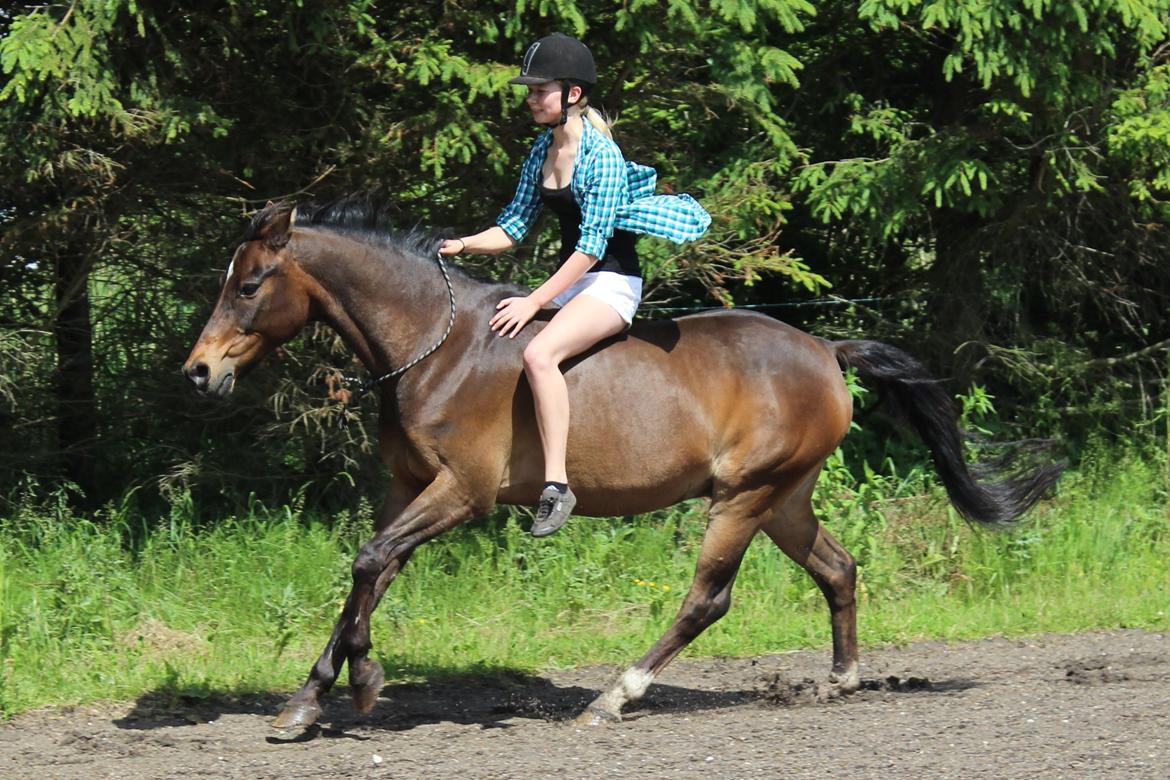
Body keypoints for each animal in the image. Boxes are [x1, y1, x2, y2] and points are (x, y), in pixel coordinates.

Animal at [180, 198, 1062, 729]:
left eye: (251, 284)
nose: (198, 373)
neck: (432, 347)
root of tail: (825, 349)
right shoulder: (405, 489)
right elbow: (366, 575)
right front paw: (306, 703)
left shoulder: (461, 494)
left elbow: (369, 564)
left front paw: (363, 682)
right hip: (784, 497)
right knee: (837, 568)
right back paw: (841, 679)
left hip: (743, 498)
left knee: (707, 600)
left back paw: (614, 697)